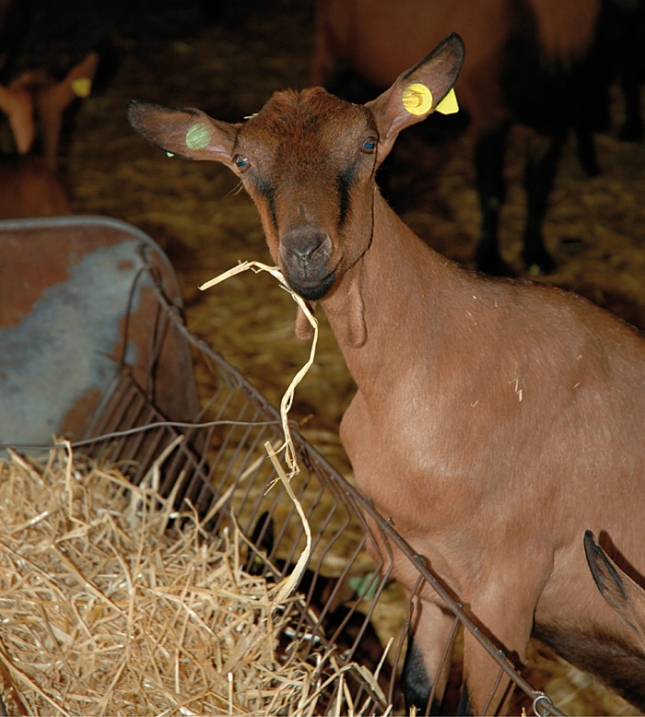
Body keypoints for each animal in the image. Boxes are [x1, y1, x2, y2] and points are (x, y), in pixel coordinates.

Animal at [128, 33, 644, 712]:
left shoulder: (506, 597)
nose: (305, 251)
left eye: (368, 144)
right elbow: (417, 688)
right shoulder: (430, 576)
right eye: (242, 163)